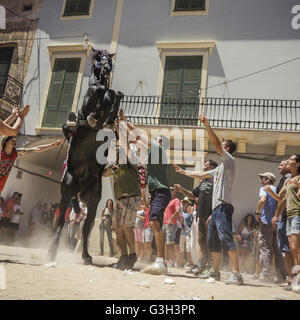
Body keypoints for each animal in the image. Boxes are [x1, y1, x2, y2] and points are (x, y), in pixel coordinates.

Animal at [47, 48, 122, 264]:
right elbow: (99, 93)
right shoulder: (90, 100)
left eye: (108, 59)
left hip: (93, 201)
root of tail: (79, 188)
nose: (105, 69)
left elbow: (115, 94)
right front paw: (96, 116)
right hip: (66, 194)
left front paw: (108, 116)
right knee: (61, 223)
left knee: (87, 228)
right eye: (99, 58)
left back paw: (86, 255)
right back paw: (52, 252)